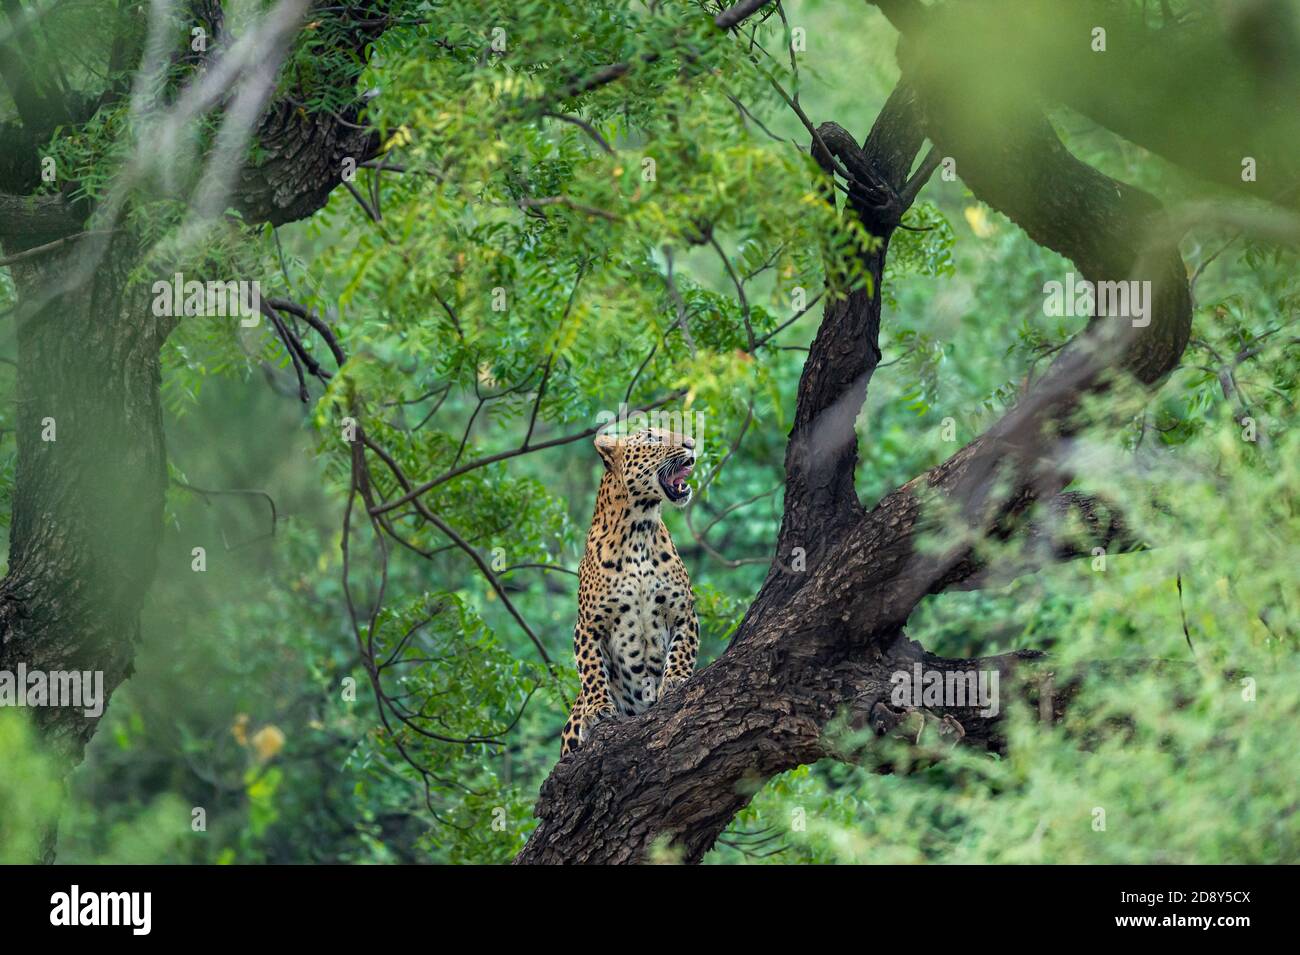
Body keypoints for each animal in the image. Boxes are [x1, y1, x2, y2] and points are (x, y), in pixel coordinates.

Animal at [559, 426, 702, 753]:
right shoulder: (588, 625)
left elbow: (682, 648)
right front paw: (598, 709)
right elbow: (592, 670)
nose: (691, 443)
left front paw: (675, 679)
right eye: (652, 438)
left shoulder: (683, 611)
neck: (639, 528)